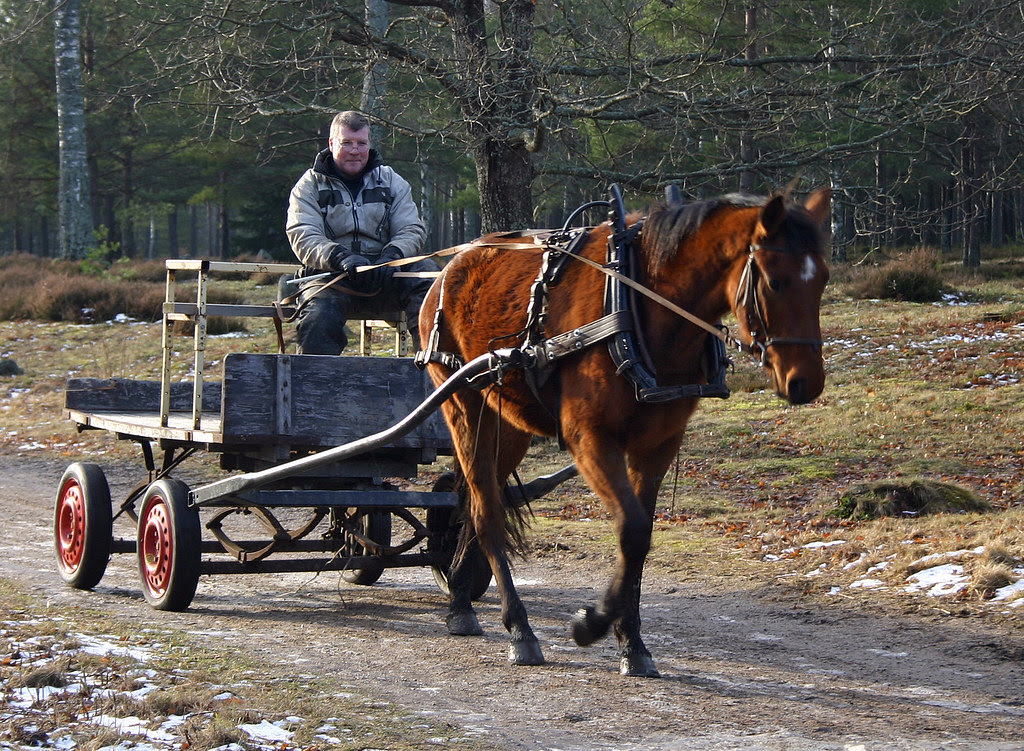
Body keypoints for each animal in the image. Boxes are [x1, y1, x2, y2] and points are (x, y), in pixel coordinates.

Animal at [417, 186, 831, 677]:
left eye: (823, 281)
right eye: (775, 281)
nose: (806, 382)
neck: (637, 301)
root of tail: (448, 269)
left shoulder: (657, 446)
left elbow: (641, 539)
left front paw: (631, 642)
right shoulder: (590, 439)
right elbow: (631, 530)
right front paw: (592, 622)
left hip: (507, 424)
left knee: (476, 502)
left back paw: (461, 599)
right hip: (463, 408)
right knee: (487, 514)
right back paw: (519, 628)